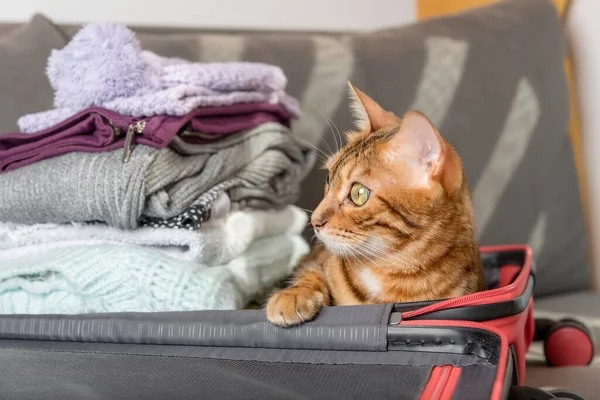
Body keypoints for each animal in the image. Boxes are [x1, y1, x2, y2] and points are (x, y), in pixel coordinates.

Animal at [268, 82, 488, 328]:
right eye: (328, 178)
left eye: (359, 193)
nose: (315, 221)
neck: (389, 270)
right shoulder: (318, 260)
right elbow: (310, 273)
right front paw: (292, 295)